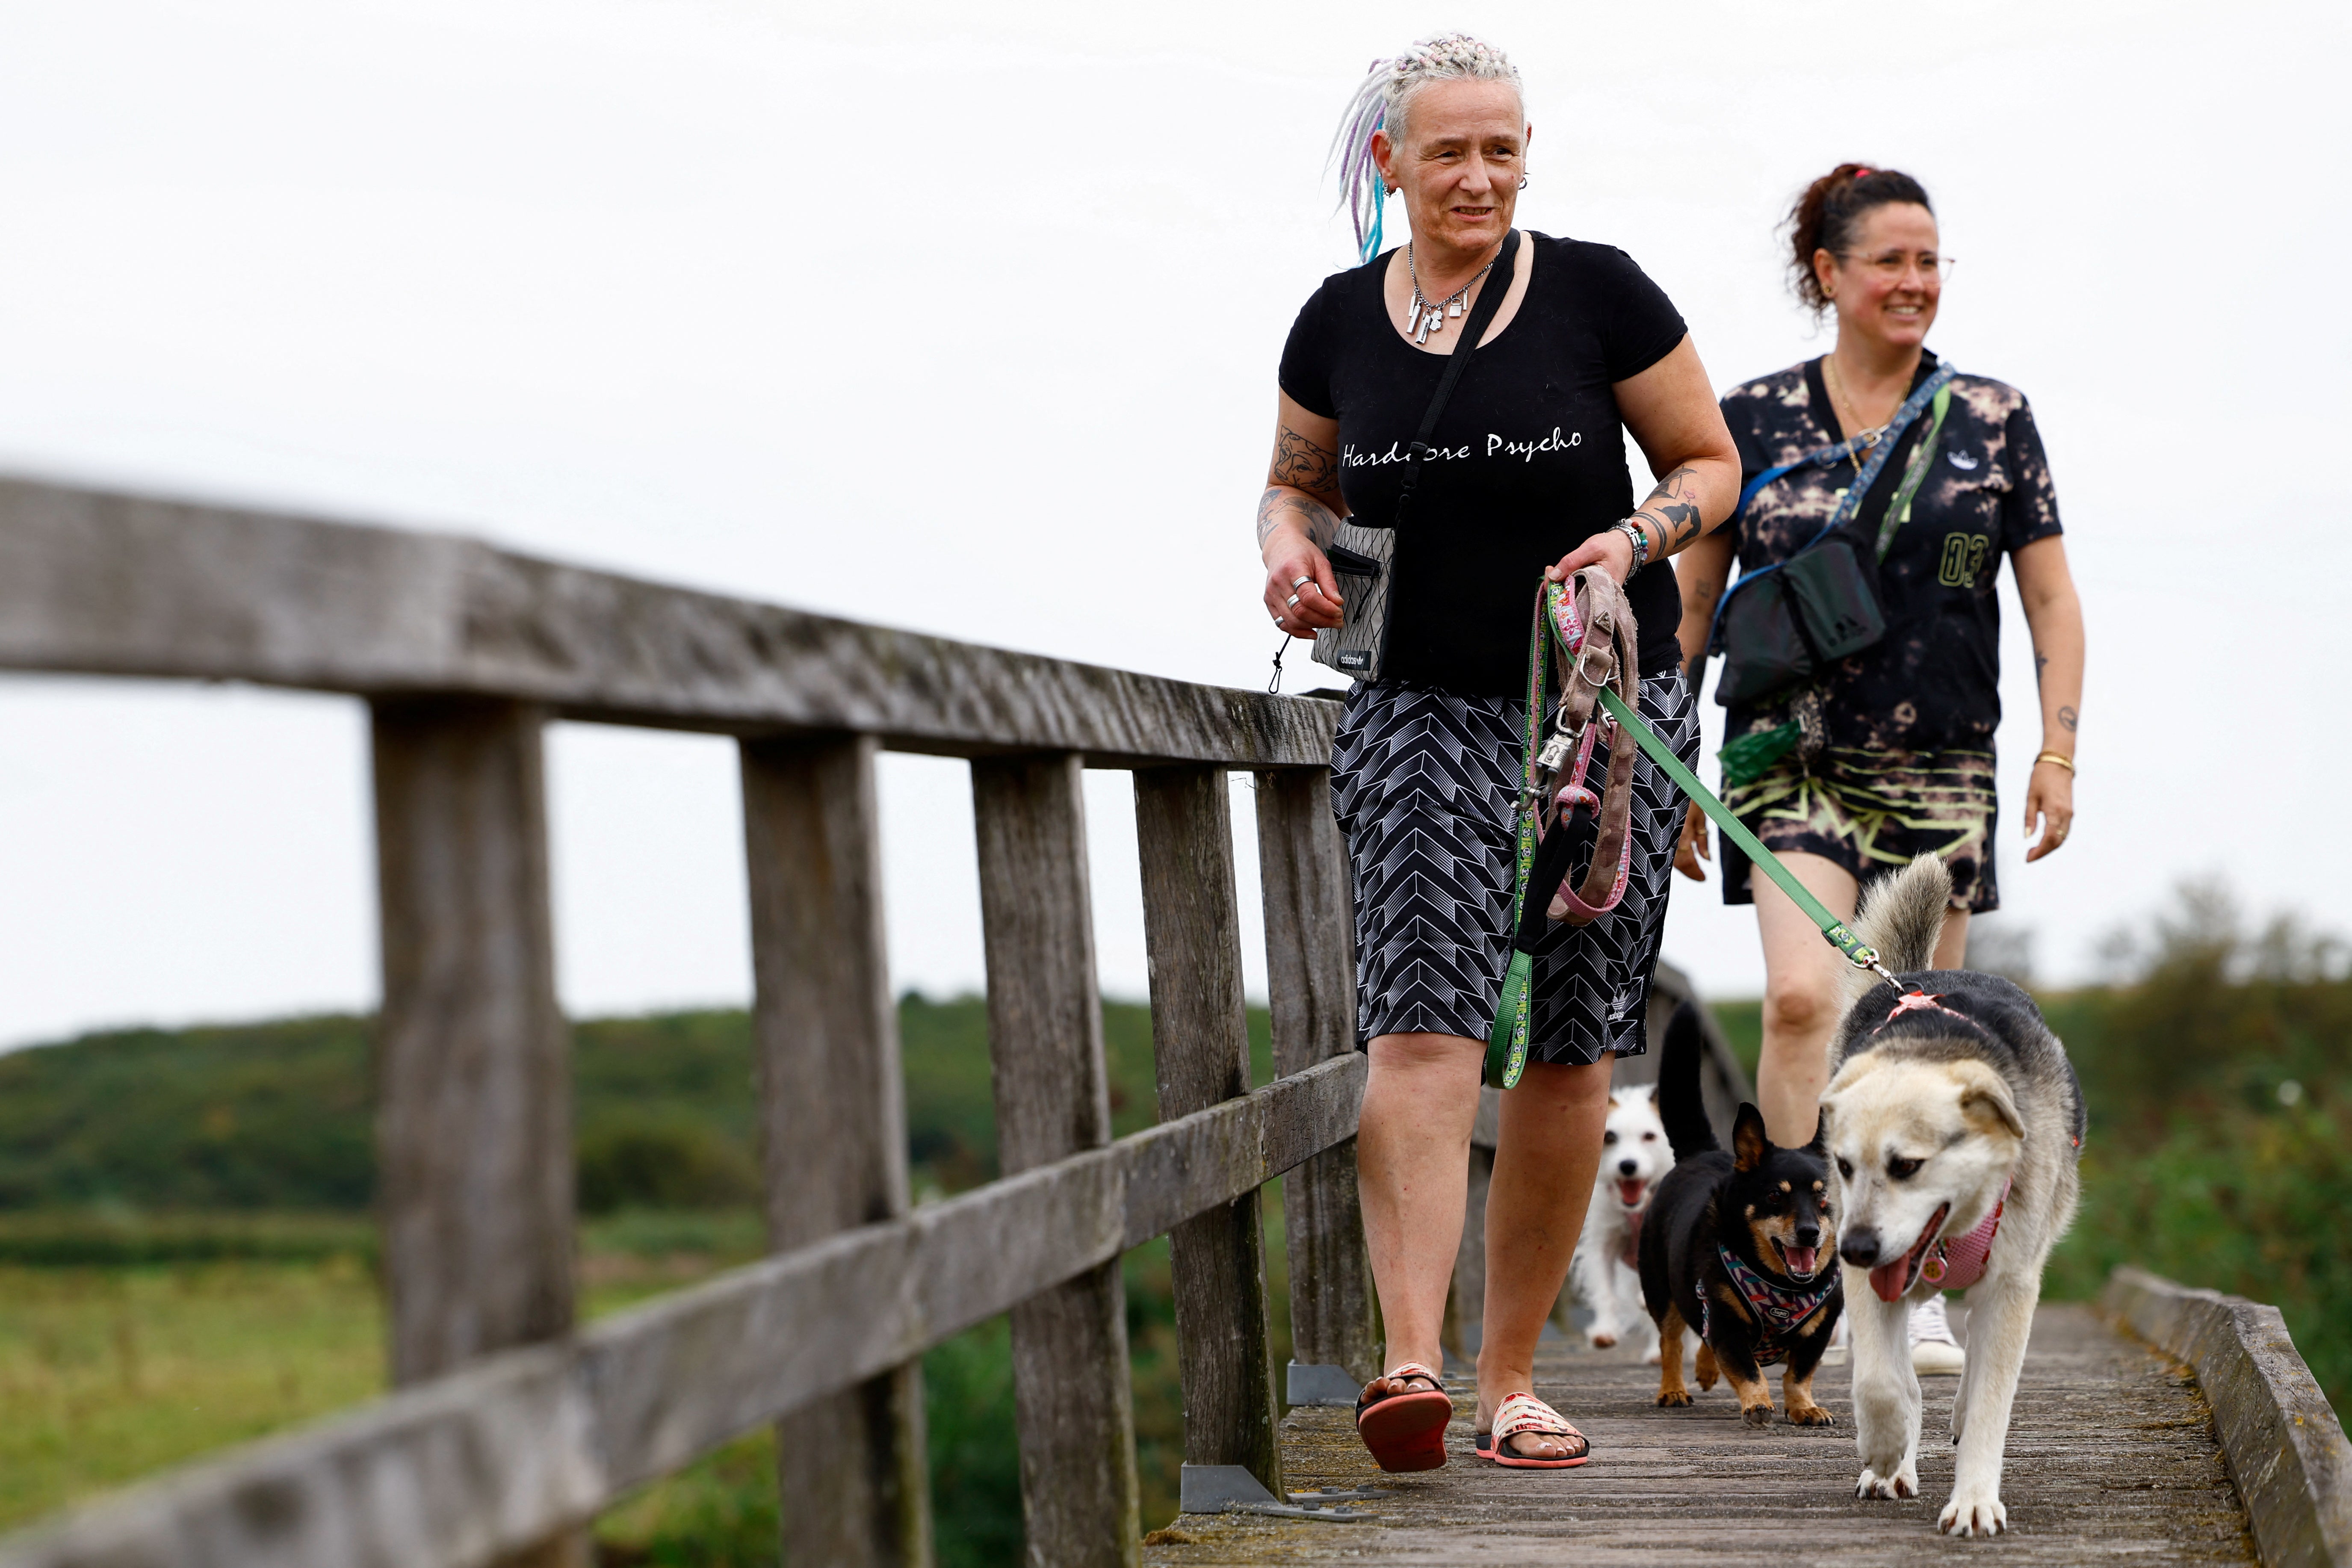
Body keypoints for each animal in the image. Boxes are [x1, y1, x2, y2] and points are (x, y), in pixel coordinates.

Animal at [1581, 1081, 1675, 1363]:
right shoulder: (1604, 1246)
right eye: (1610, 1137)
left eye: (1649, 1137)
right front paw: (1604, 1331)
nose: (1628, 1165)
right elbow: (1604, 1290)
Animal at [1637, 1011, 1835, 1429]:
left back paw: (1707, 1369)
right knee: (1671, 1341)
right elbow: (1748, 1369)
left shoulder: (1820, 1330)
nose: (1810, 1233)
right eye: (1776, 1195)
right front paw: (1758, 1404)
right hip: (1662, 1293)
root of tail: (1701, 1151)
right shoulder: (1726, 1321)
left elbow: (1799, 1374)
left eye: (1823, 1196)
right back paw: (1673, 1390)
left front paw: (1805, 1407)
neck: (1782, 1287)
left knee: (1702, 1337)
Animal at [1816, 851, 2079, 1542]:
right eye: (1845, 1165)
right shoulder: (1872, 1283)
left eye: (1907, 1165)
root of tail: (1914, 976)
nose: (1854, 1249)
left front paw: (1975, 1501)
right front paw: (1885, 1451)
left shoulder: (2010, 1286)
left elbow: (1990, 1400)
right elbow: (1882, 1381)